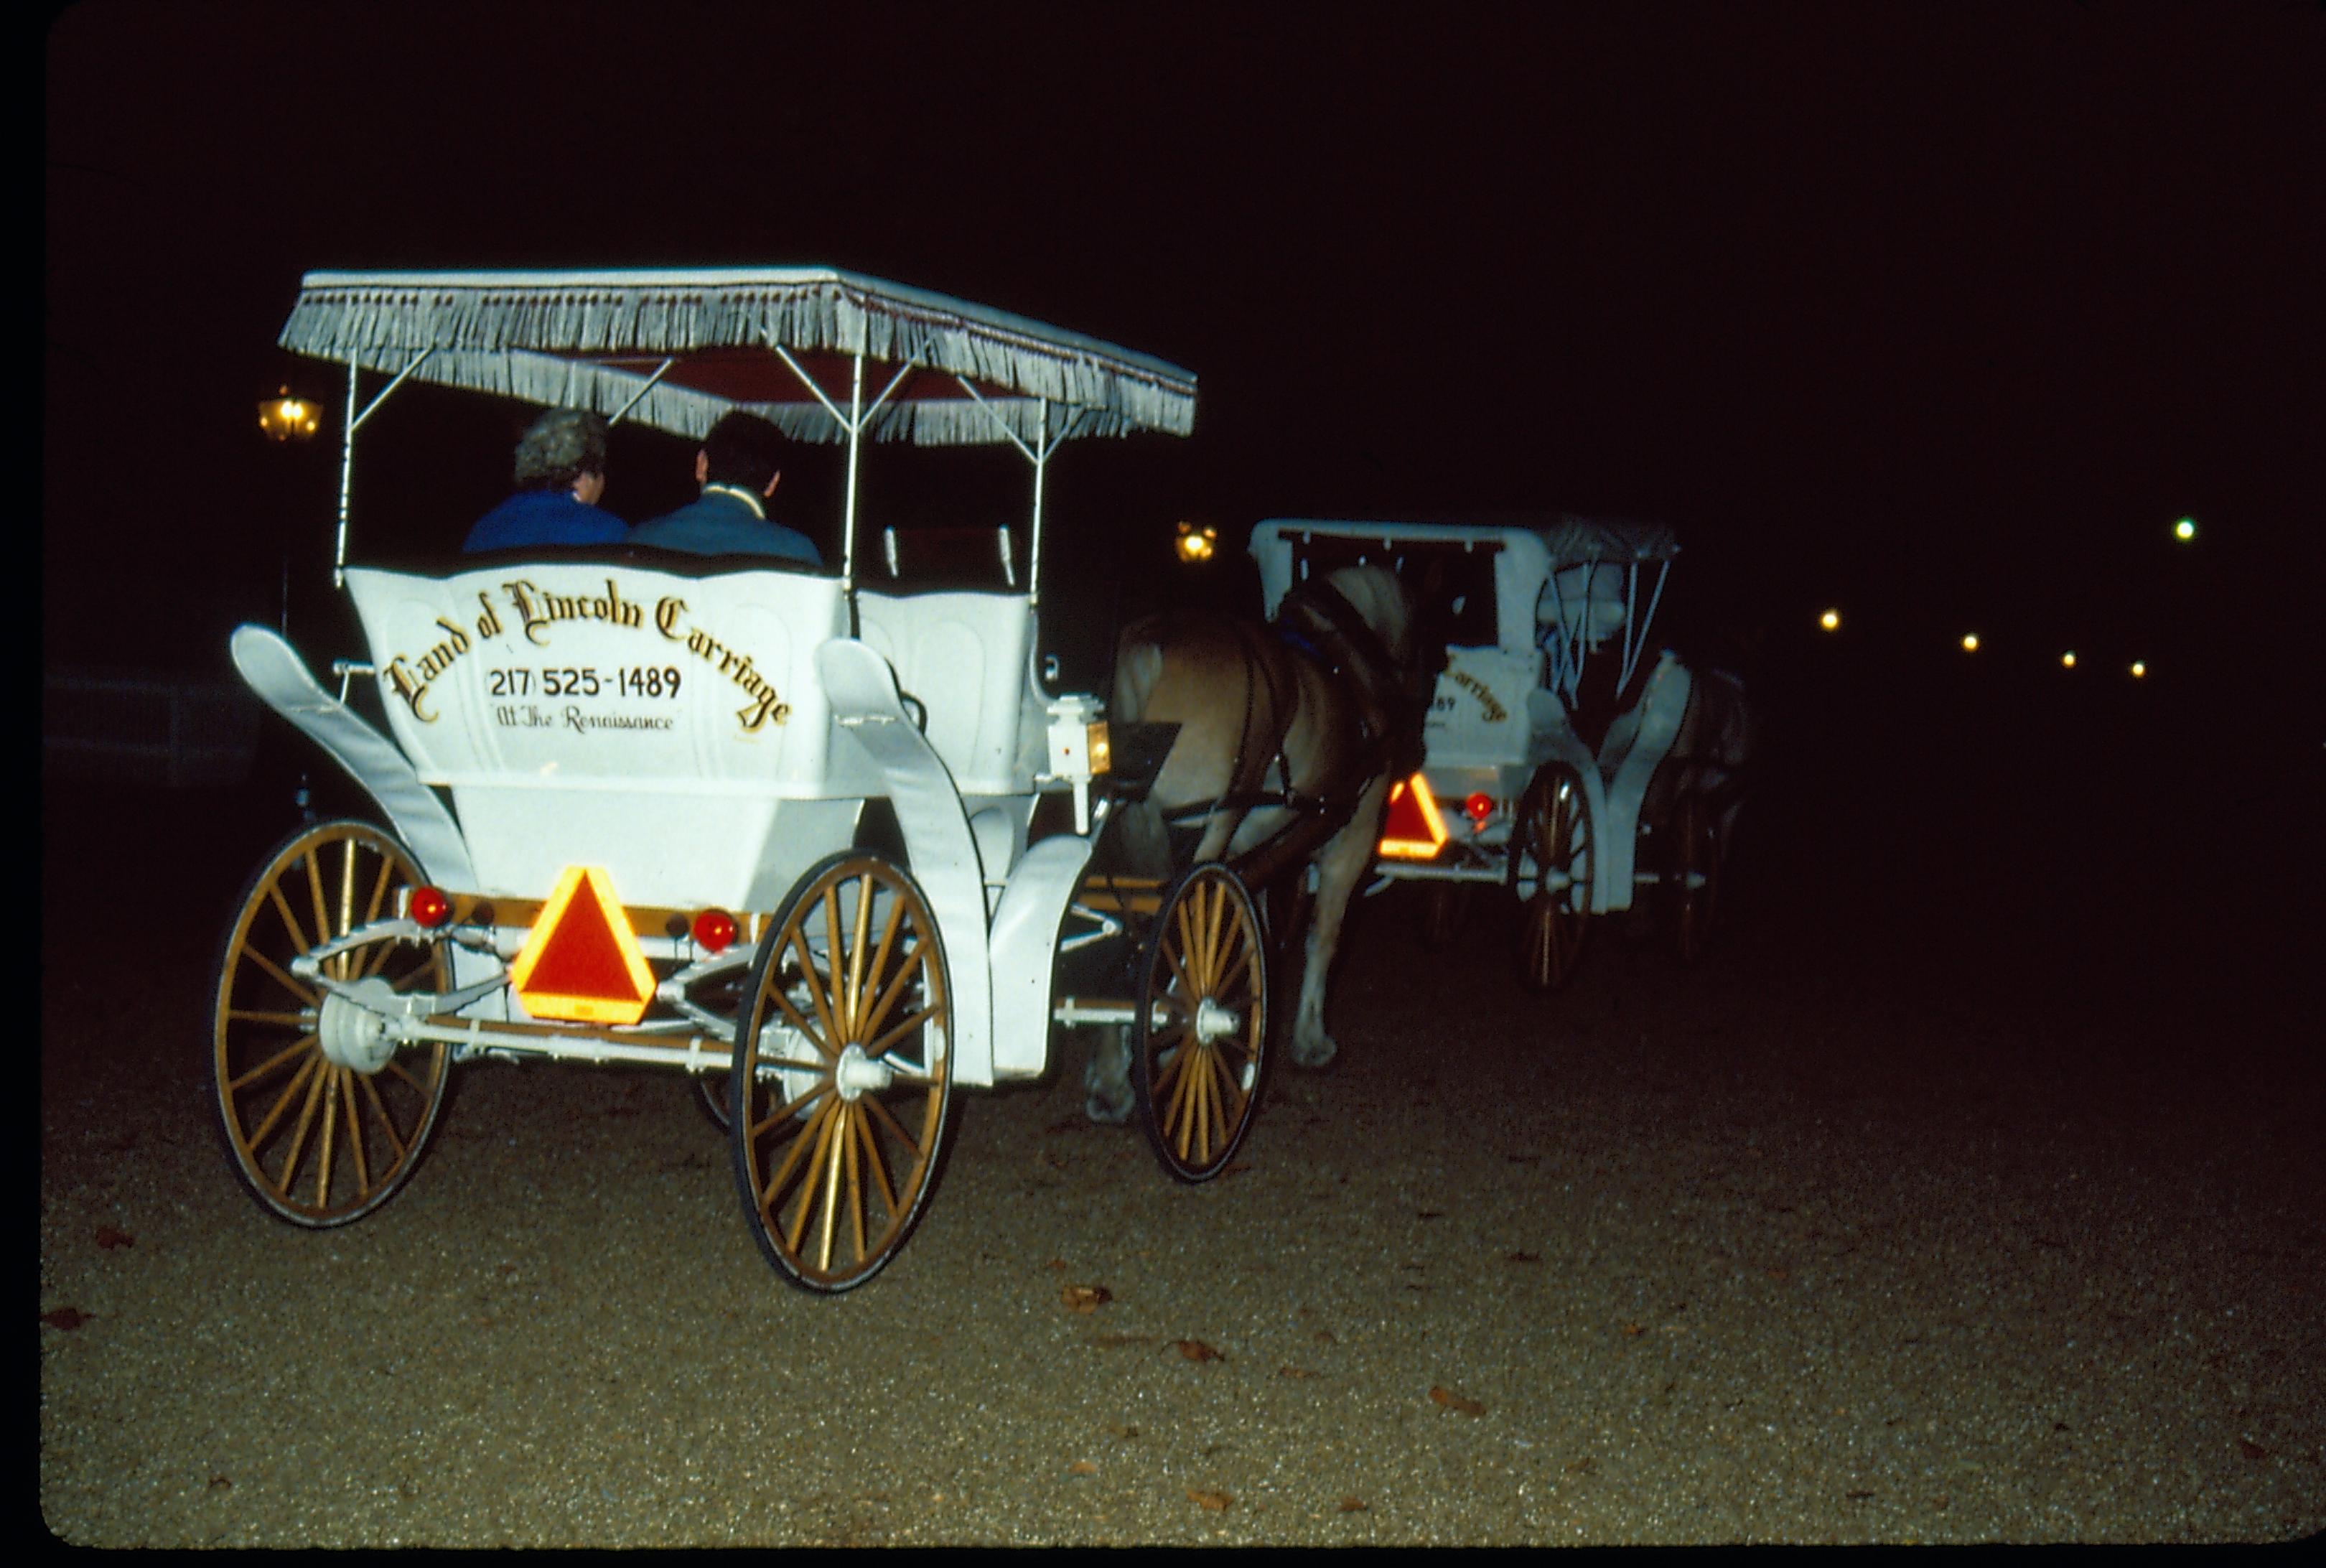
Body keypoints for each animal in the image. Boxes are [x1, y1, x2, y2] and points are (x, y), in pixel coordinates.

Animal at [1083, 558, 1432, 1111]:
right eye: (1427, 651)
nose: (1415, 748)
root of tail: (1153, 648)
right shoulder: (1351, 843)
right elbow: (1324, 937)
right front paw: (1311, 1040)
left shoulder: (1258, 851)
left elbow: (1254, 935)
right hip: (1204, 833)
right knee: (1158, 944)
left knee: (1119, 934)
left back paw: (1112, 1074)